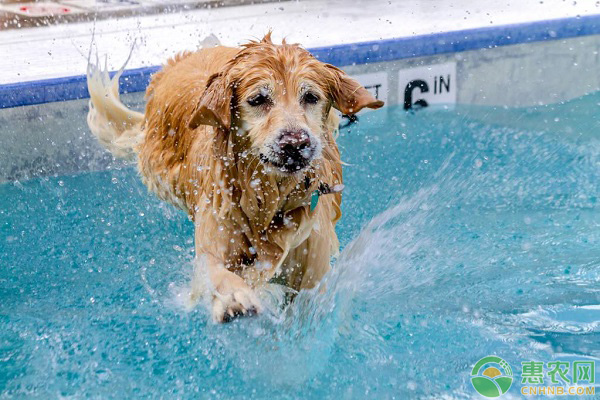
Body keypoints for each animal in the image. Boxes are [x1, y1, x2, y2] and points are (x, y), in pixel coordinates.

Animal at [86, 33, 382, 322]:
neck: (268, 201)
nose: (295, 143)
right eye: (258, 100)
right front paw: (233, 298)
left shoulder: (310, 272)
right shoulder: (216, 236)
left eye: (310, 97)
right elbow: (215, 271)